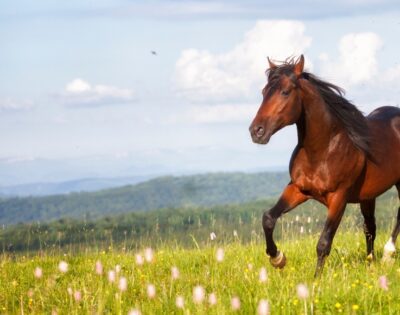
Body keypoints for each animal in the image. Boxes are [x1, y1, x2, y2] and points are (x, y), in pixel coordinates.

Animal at [250, 55, 400, 278]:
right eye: (263, 92)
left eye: (285, 91)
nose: (256, 131)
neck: (324, 150)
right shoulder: (298, 189)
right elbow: (268, 218)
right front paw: (277, 258)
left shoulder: (339, 198)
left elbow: (323, 243)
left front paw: (315, 281)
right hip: (368, 195)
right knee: (370, 227)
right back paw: (371, 263)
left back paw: (388, 254)